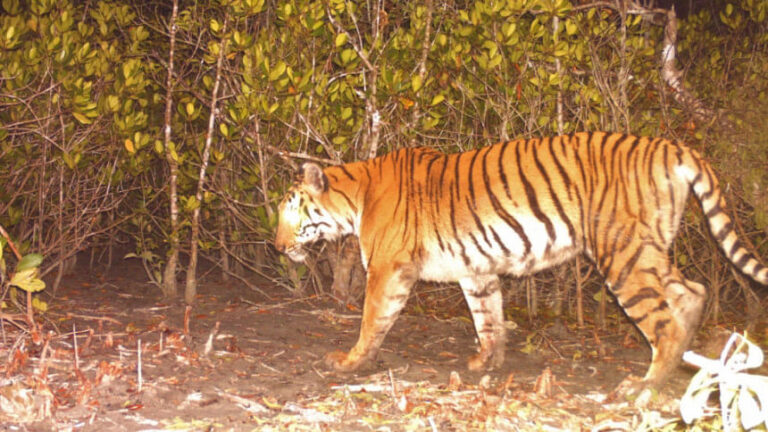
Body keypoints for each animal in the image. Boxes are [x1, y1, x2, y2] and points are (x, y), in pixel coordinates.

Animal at [272, 131, 764, 388]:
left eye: (289, 210)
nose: (276, 246)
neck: (356, 196)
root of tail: (671, 147)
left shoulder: (387, 268)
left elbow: (373, 319)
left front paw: (350, 362)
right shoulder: (477, 269)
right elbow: (488, 317)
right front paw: (485, 364)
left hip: (621, 252)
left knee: (663, 319)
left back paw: (646, 386)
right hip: (647, 248)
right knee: (692, 292)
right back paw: (683, 366)